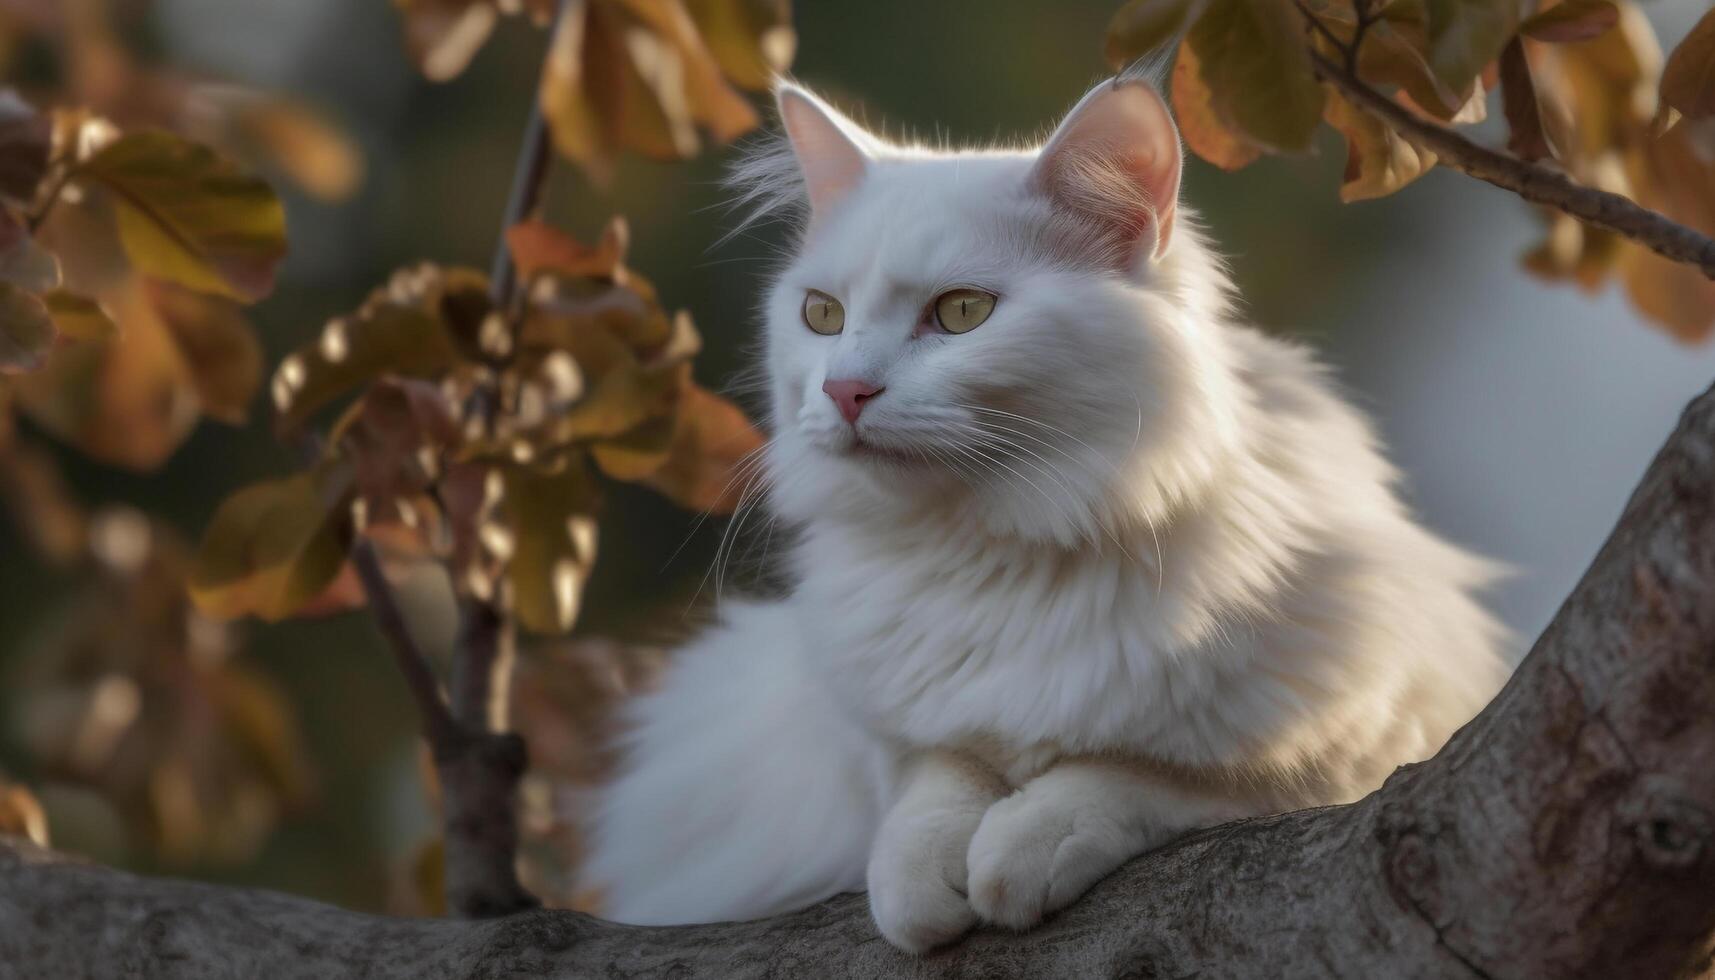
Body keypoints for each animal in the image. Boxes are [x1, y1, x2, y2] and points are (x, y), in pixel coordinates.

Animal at [583, 78, 1509, 961]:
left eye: (961, 312)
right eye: (821, 315)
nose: (843, 390)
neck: (993, 552)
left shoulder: (1358, 754)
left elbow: (1144, 778)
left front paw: (1024, 846)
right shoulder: (884, 736)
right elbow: (931, 783)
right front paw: (921, 878)